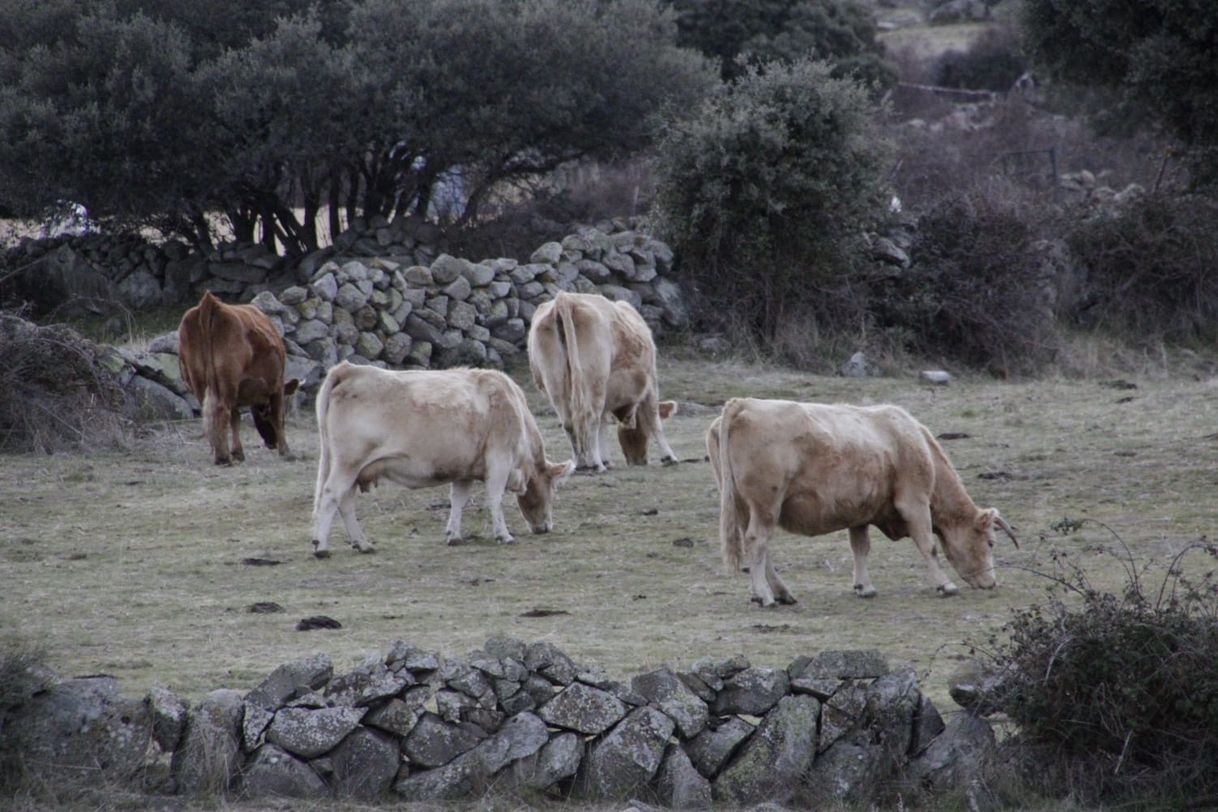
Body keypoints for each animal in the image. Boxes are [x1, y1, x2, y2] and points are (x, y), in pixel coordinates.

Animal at [177, 292, 298, 467]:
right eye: (263, 411)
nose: (271, 443)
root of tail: (210, 303)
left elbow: (236, 419)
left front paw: (237, 452)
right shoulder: (277, 386)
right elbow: (277, 416)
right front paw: (286, 451)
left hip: (201, 381)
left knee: (212, 414)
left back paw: (219, 452)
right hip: (227, 380)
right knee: (221, 411)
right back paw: (223, 457)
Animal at [309, 362, 574, 560]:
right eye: (553, 490)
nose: (545, 527)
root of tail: (349, 369)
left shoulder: (465, 469)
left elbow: (458, 500)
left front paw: (454, 535)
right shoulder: (499, 458)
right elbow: (495, 497)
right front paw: (504, 535)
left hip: (352, 468)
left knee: (345, 502)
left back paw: (362, 543)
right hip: (348, 463)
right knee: (331, 495)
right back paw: (322, 546)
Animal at [528, 290, 682, 469]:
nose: (637, 461)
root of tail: (564, 299)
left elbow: (603, 423)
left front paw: (606, 459)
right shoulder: (651, 380)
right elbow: (653, 419)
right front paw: (669, 457)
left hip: (554, 382)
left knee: (569, 423)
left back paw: (581, 463)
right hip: (595, 380)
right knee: (590, 418)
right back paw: (596, 464)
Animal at [706, 396, 1018, 606]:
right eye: (991, 542)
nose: (993, 583)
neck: (914, 441)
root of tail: (743, 403)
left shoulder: (858, 512)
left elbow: (860, 548)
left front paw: (864, 586)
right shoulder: (914, 500)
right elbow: (928, 544)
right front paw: (945, 584)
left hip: (744, 506)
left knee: (760, 546)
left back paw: (781, 593)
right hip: (765, 505)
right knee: (757, 541)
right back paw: (765, 596)